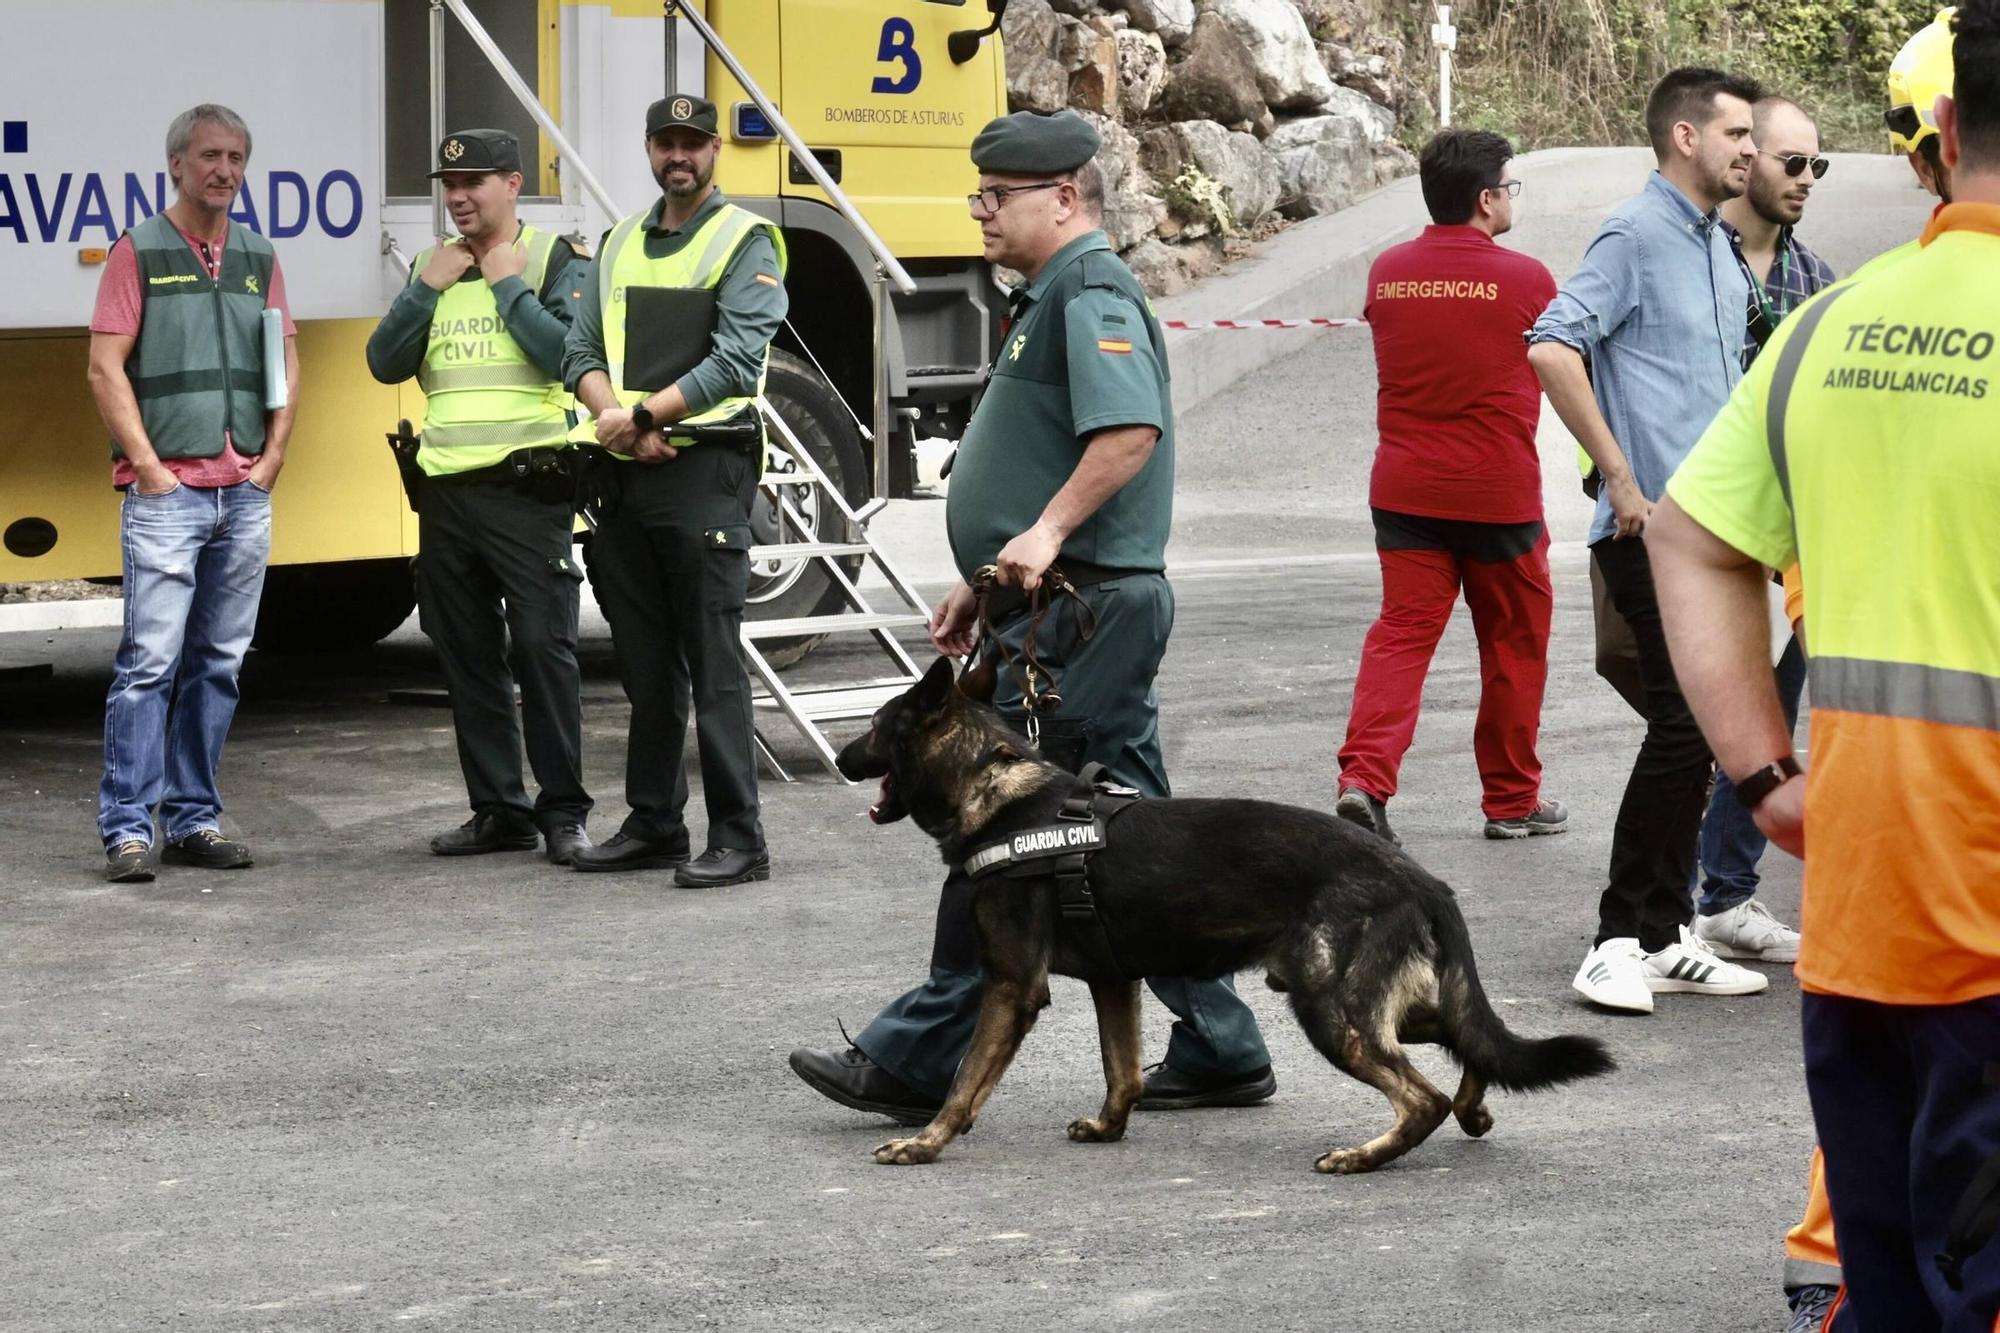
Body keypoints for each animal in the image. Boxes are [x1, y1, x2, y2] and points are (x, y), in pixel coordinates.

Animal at [836, 660, 1616, 1168]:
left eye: (872, 726)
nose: (841, 757)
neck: (994, 786)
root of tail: (1423, 879)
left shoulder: (1011, 986)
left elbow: (965, 1081)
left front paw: (926, 1142)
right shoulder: (1114, 982)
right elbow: (1123, 1071)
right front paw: (1111, 1127)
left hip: (1329, 1009)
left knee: (1421, 1097)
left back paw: (1365, 1156)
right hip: (1374, 1002)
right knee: (1468, 1041)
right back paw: (1473, 1107)